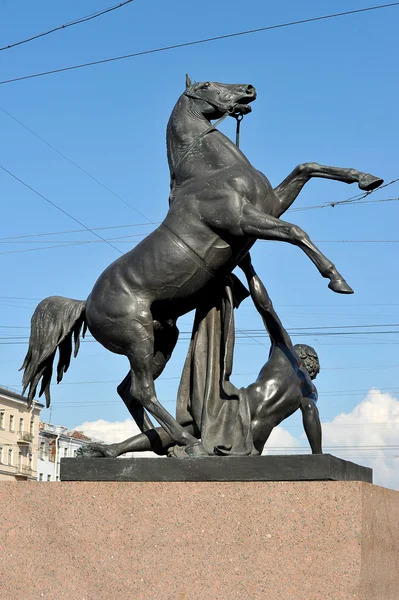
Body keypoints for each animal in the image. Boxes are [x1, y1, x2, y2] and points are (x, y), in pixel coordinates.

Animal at [21, 78, 384, 454]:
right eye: (207, 85)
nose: (249, 89)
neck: (212, 173)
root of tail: (86, 303)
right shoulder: (243, 220)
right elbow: (296, 231)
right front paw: (337, 280)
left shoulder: (271, 205)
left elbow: (306, 167)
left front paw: (367, 179)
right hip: (138, 338)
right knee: (142, 390)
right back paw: (188, 442)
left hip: (163, 339)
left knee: (128, 390)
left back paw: (159, 446)